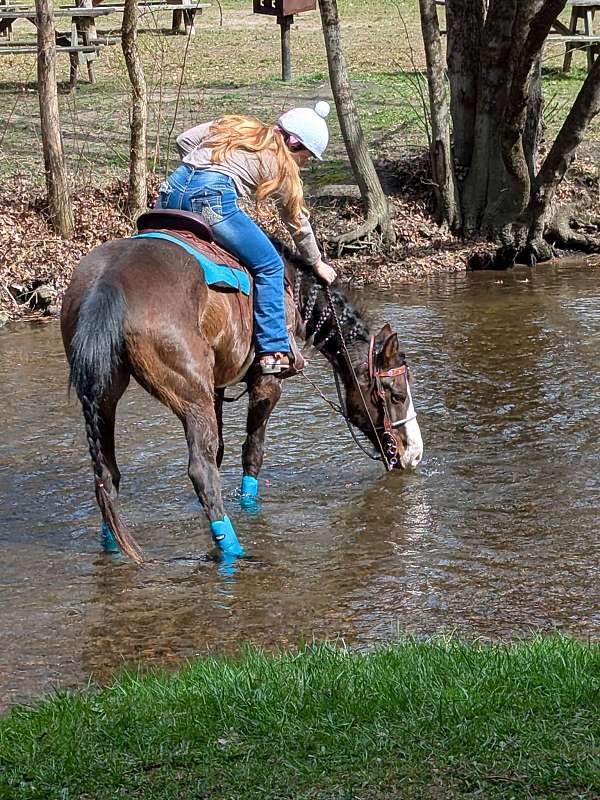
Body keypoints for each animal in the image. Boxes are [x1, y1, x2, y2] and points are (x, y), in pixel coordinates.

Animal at [60, 214, 423, 565]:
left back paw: (113, 543)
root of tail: (110, 283)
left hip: (105, 396)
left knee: (107, 474)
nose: (415, 454)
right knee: (201, 470)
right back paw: (233, 549)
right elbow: (253, 451)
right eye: (396, 394)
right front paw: (249, 504)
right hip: (190, 396)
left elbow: (222, 451)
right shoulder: (266, 383)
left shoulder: (216, 389)